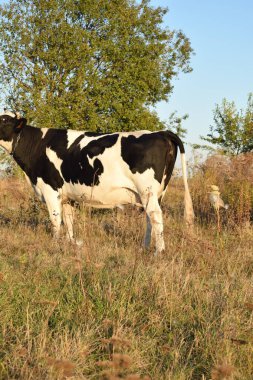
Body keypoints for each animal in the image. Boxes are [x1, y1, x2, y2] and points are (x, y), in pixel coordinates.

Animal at [0, 111, 194, 256]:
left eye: (4, 120)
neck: (37, 146)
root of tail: (161, 132)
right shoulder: (67, 196)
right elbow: (69, 220)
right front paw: (71, 243)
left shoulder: (50, 190)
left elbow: (55, 220)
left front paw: (54, 245)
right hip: (157, 192)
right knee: (150, 217)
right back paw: (144, 248)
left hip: (148, 190)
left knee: (155, 215)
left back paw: (158, 251)